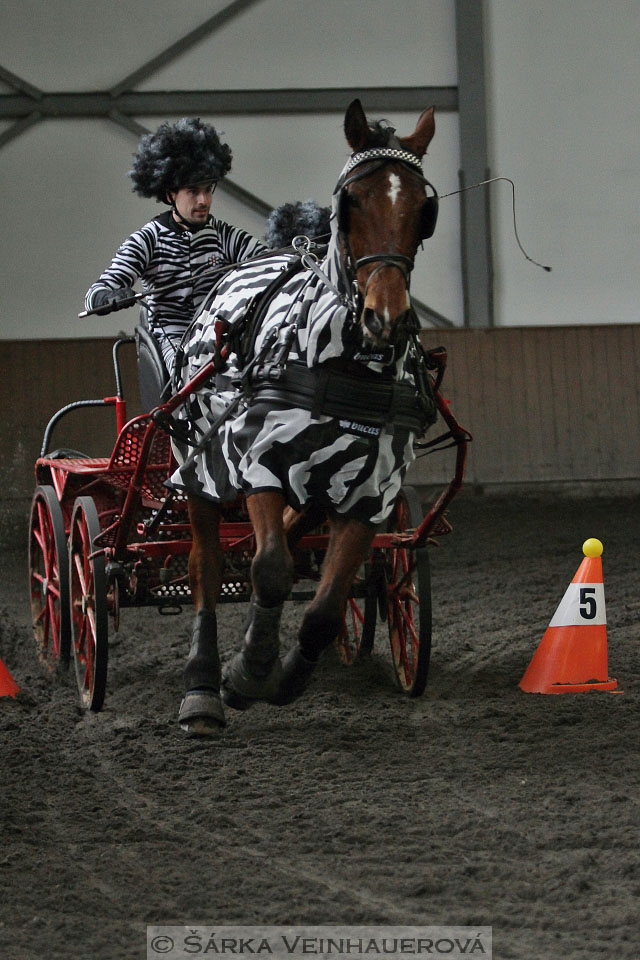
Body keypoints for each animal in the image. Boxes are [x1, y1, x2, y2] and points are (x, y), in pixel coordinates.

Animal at [169, 99, 440, 736]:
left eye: (424, 209)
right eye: (351, 201)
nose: (385, 318)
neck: (344, 364)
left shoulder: (371, 490)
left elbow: (326, 605)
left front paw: (285, 677)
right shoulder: (260, 460)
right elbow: (267, 567)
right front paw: (245, 673)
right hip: (197, 463)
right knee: (205, 564)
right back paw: (202, 685)